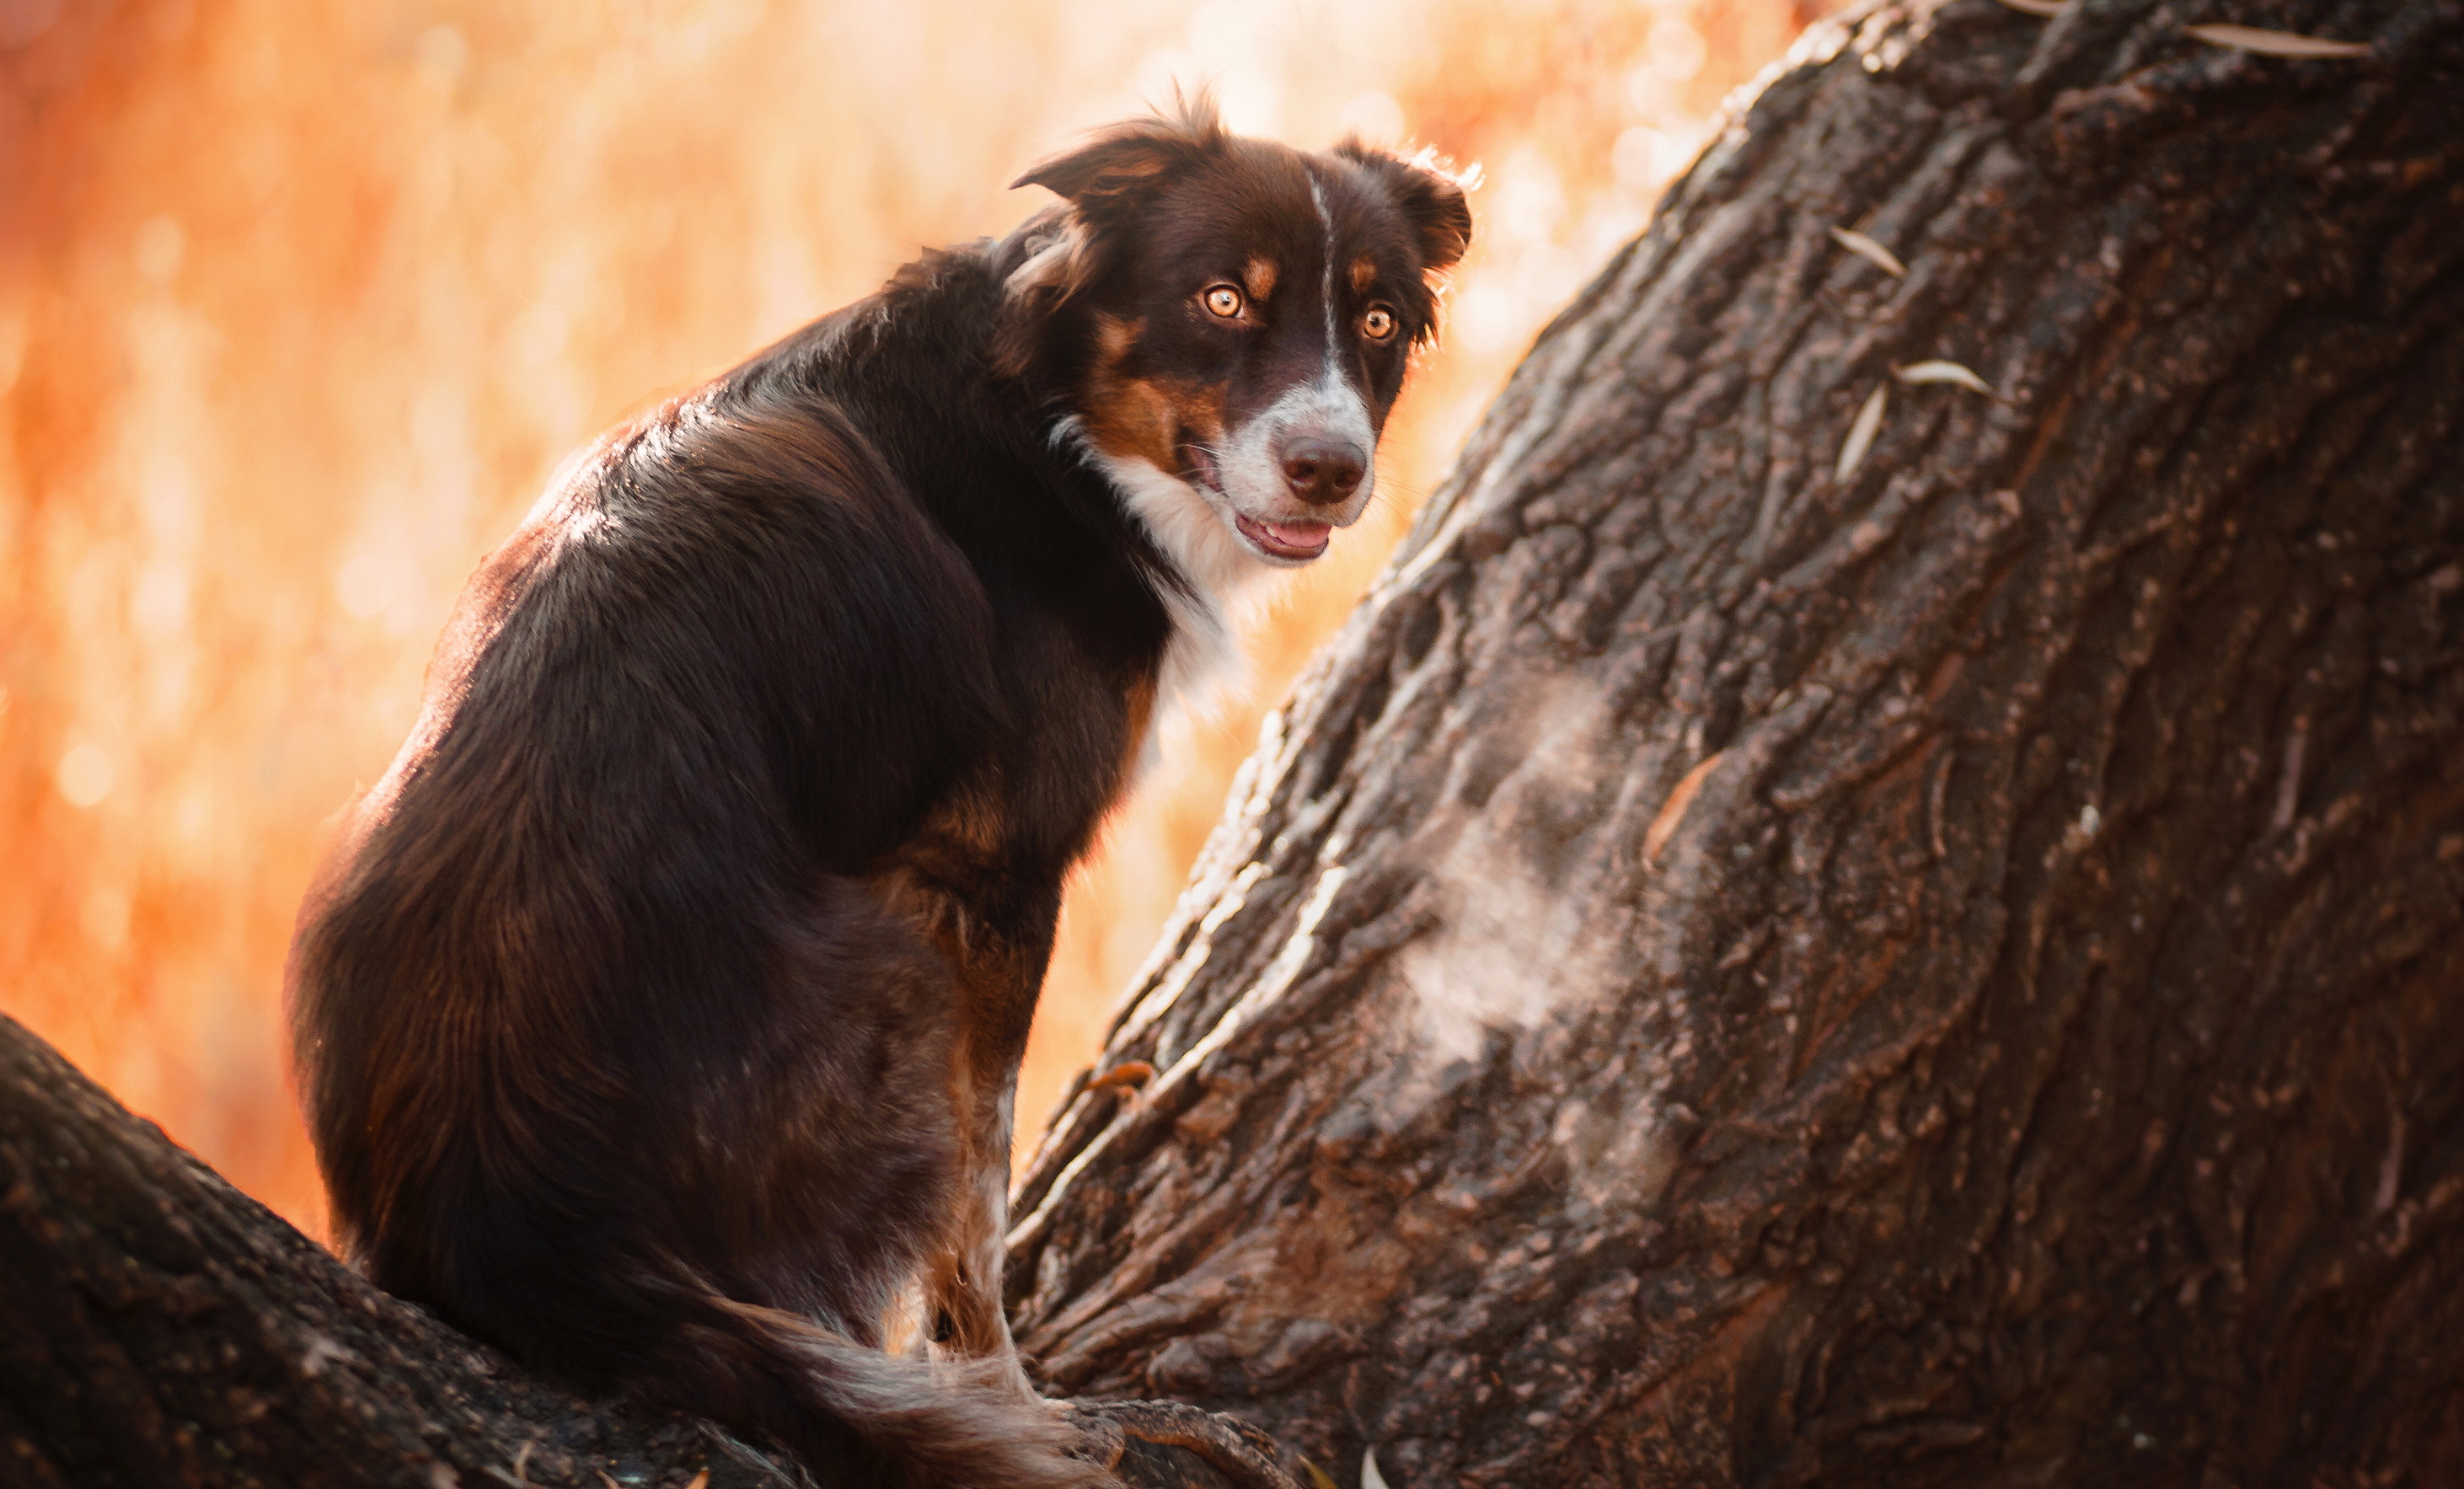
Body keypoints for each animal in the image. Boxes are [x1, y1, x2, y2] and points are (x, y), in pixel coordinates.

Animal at [288, 96, 1459, 1488]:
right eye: (1224, 298)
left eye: (1376, 320)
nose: (1330, 468)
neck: (1048, 422)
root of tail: (495, 1221)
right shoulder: (990, 879)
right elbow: (977, 1193)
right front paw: (1011, 1396)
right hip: (889, 972)